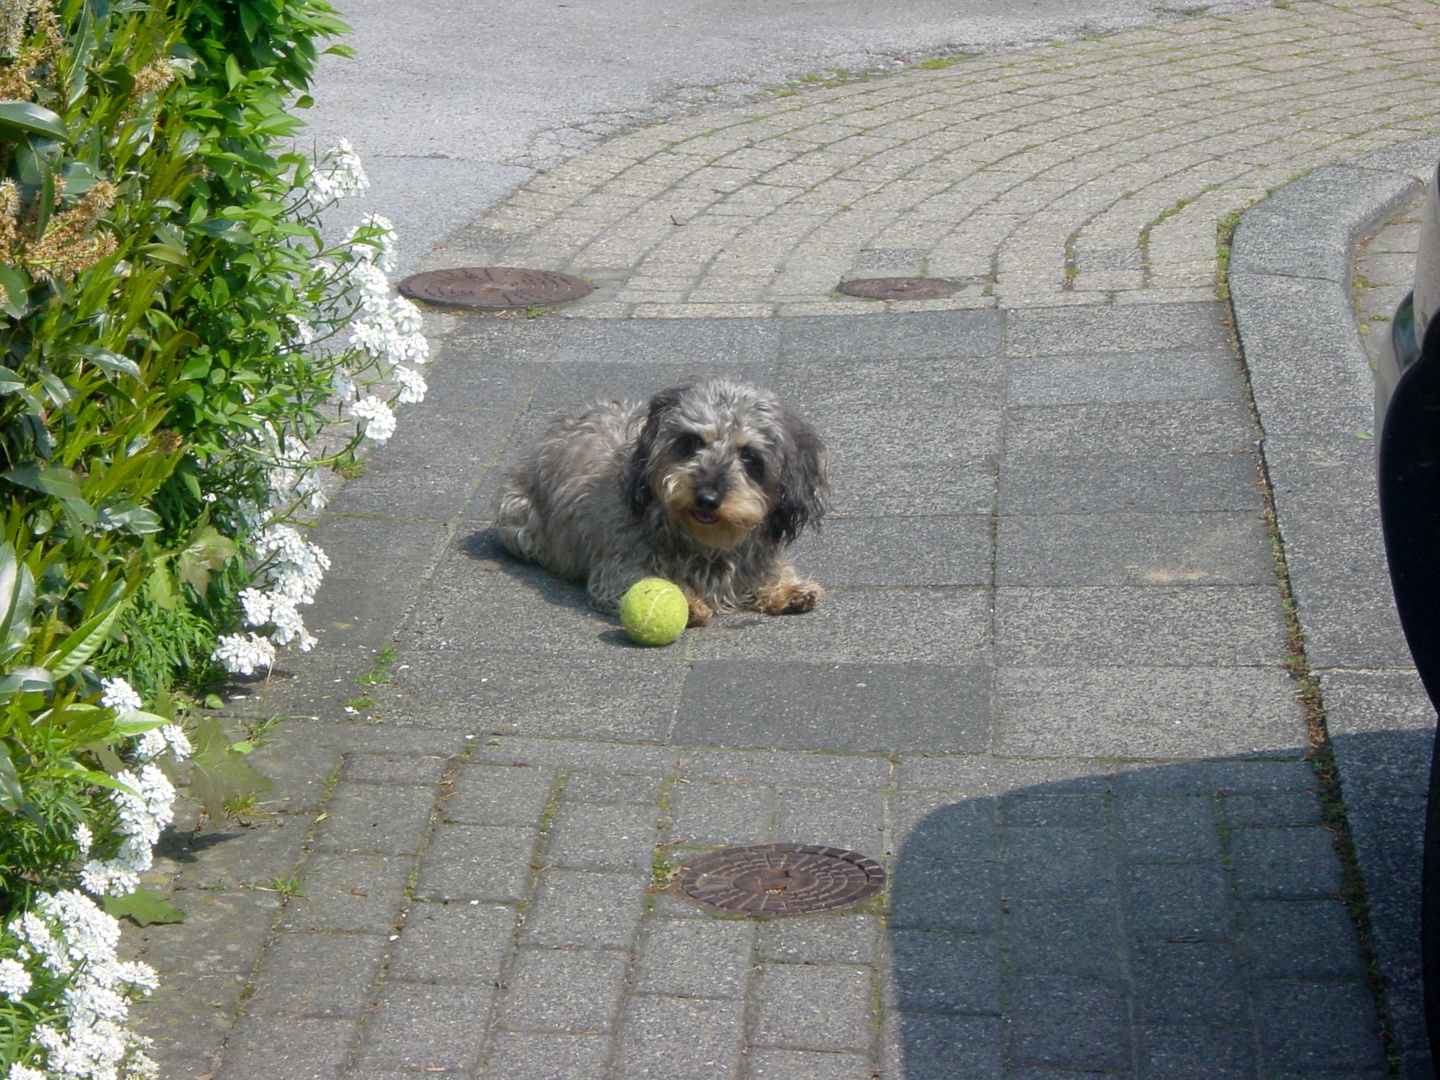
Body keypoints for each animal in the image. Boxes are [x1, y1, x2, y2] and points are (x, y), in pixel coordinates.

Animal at [501, 380, 829, 624]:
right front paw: (687, 602)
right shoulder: (619, 569)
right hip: (516, 519)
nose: (707, 499)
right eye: (692, 442)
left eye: (749, 455)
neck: (705, 542)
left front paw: (788, 589)